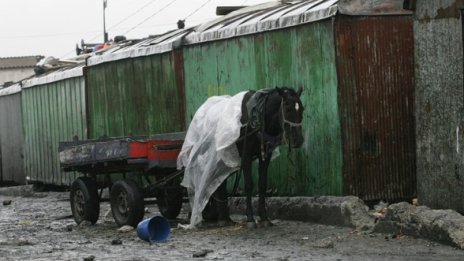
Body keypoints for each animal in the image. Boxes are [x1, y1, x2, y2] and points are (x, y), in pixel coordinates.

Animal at [209, 86, 306, 228]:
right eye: (287, 108)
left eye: (302, 109)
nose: (298, 140)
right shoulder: (246, 155)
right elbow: (249, 184)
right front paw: (250, 218)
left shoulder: (265, 155)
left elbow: (262, 184)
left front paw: (264, 217)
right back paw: (222, 218)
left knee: (221, 183)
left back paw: (225, 218)